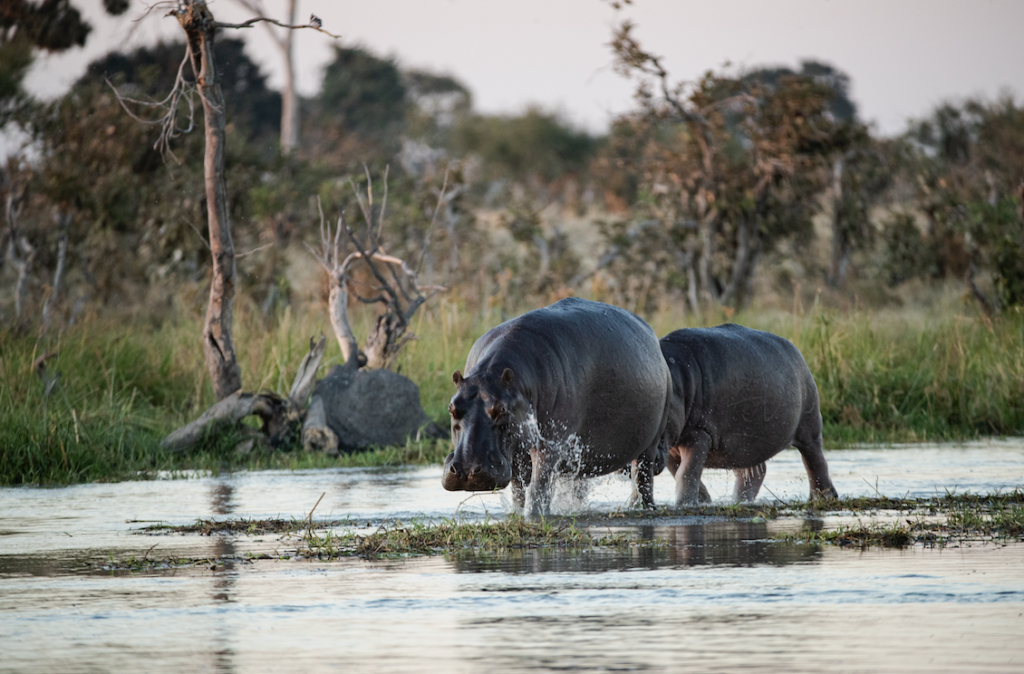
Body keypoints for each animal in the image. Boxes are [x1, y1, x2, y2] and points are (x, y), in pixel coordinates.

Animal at [440, 295, 671, 514]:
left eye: (502, 409)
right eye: (451, 409)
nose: (468, 472)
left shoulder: (551, 444)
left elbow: (538, 486)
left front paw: (535, 516)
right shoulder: (516, 449)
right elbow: (518, 491)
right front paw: (517, 514)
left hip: (650, 444)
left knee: (643, 478)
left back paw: (645, 508)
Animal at [659, 321, 835, 503]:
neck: (677, 380)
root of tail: (795, 349)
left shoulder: (700, 432)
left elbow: (687, 472)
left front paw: (685, 504)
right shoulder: (672, 445)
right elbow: (680, 472)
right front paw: (703, 501)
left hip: (809, 426)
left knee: (814, 460)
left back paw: (823, 497)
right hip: (744, 445)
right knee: (756, 471)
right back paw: (741, 500)